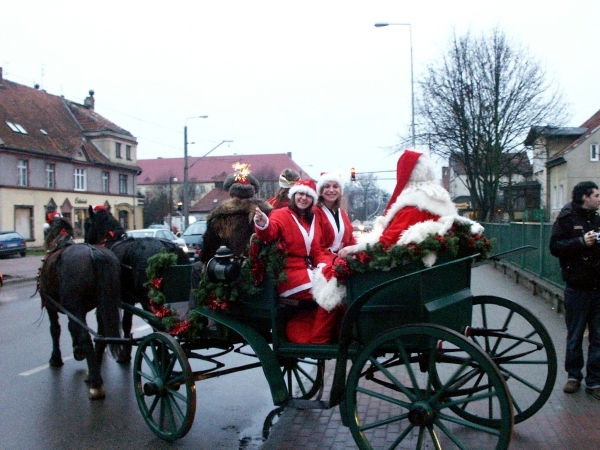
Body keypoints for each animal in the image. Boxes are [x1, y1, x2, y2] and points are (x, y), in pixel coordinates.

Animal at [38, 216, 122, 400]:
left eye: (86, 224)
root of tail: (95, 254)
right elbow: (72, 327)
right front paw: (78, 351)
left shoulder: (52, 305)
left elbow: (55, 329)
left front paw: (56, 358)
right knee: (101, 336)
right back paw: (93, 373)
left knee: (87, 337)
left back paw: (96, 385)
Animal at [83, 205, 189, 362]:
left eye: (86, 224)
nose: (85, 243)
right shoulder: (129, 299)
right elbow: (127, 324)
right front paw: (125, 354)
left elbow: (102, 323)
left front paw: (99, 352)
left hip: (149, 302)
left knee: (161, 328)